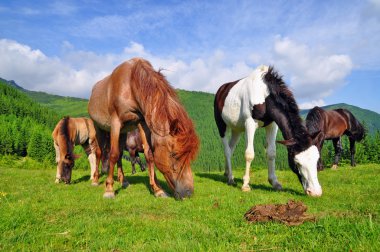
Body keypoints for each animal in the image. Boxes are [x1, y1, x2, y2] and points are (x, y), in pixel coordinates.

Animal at [88, 57, 200, 199]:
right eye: (174, 155)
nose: (188, 192)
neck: (130, 85)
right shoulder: (115, 123)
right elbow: (112, 154)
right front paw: (109, 189)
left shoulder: (142, 123)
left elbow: (149, 155)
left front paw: (157, 189)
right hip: (98, 127)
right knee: (99, 152)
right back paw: (96, 180)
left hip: (123, 132)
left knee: (119, 155)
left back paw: (123, 181)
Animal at [214, 65, 324, 197]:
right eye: (297, 163)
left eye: (317, 159)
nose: (315, 192)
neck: (264, 94)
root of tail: (221, 89)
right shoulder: (250, 123)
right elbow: (249, 154)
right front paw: (245, 185)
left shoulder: (272, 125)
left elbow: (271, 153)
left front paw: (274, 182)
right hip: (221, 125)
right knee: (227, 150)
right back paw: (230, 178)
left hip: (237, 129)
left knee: (231, 148)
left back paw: (227, 173)